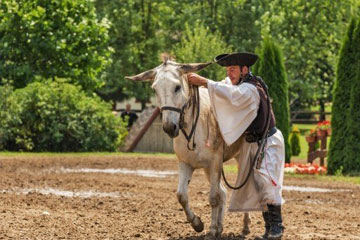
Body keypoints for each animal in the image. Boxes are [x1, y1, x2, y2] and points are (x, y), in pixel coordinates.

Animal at [126, 57, 250, 238]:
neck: (194, 127)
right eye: (155, 89)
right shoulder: (186, 164)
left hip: (241, 158)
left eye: (177, 87)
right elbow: (182, 196)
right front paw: (198, 224)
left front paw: (212, 230)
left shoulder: (215, 163)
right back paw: (221, 226)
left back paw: (245, 225)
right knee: (223, 192)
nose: (169, 127)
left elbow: (213, 197)